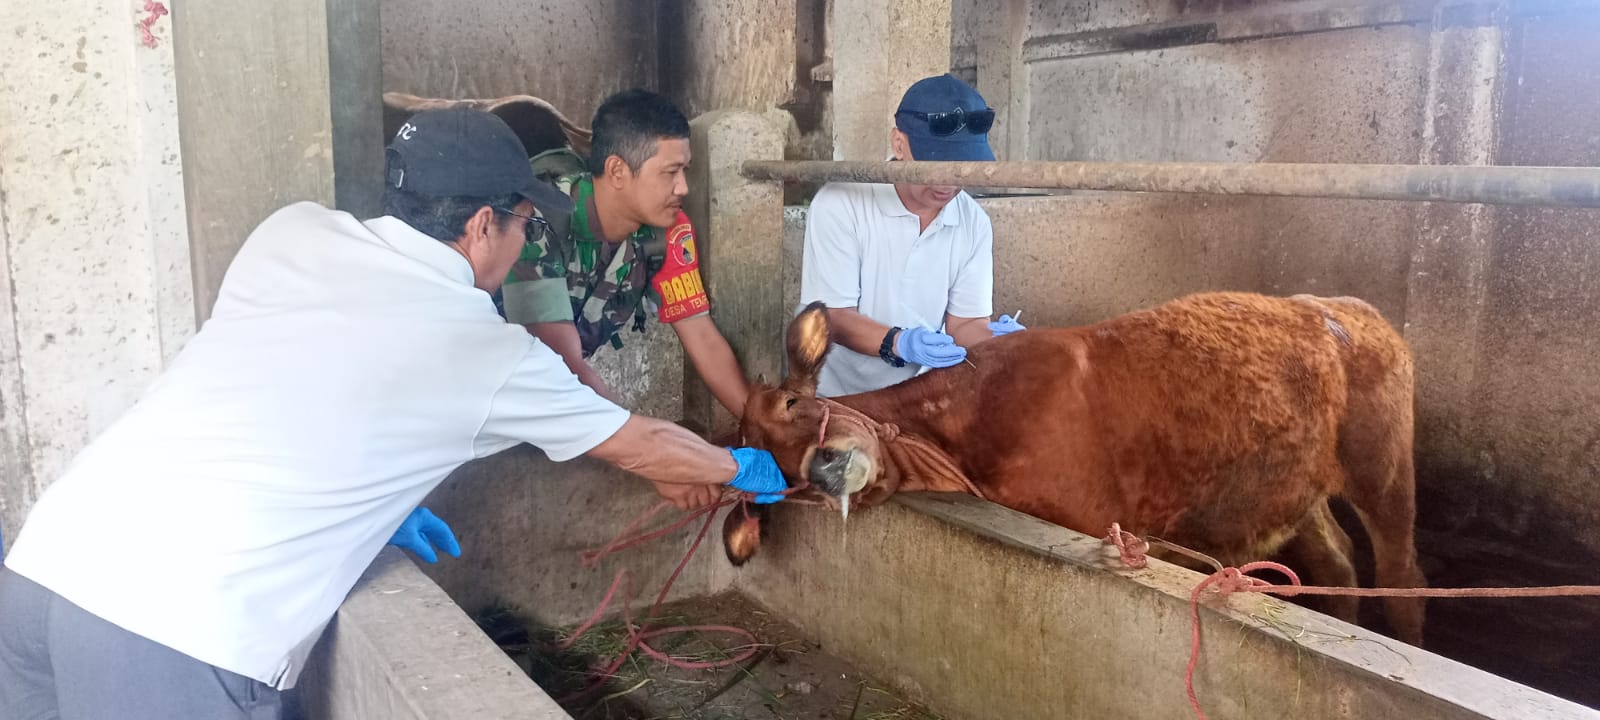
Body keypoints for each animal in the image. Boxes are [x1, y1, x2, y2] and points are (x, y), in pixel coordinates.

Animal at [726, 289, 1427, 643]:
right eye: (779, 482)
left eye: (792, 402)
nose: (823, 467)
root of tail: (1351, 307)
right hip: (1297, 490)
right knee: (1337, 560)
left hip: (1383, 465)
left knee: (1403, 573)